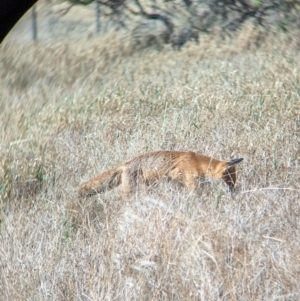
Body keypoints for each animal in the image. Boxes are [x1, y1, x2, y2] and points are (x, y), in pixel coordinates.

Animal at [76, 150, 243, 197]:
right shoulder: (192, 184)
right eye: (229, 181)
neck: (197, 163)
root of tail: (125, 164)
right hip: (131, 192)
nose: (234, 193)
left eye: (234, 181)